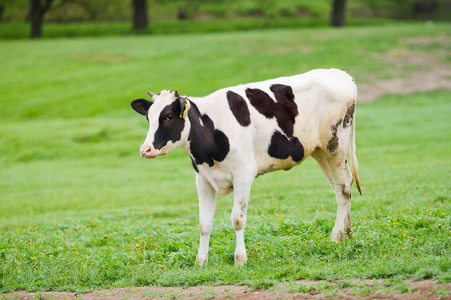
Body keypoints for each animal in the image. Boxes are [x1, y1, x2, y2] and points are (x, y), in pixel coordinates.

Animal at [132, 69, 364, 266]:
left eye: (168, 117)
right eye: (148, 118)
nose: (145, 149)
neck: (211, 132)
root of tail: (341, 74)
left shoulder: (243, 175)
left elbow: (237, 219)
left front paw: (240, 259)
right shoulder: (203, 179)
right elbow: (204, 223)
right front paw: (201, 261)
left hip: (335, 144)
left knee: (343, 188)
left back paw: (336, 237)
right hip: (320, 151)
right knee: (340, 187)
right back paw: (347, 233)